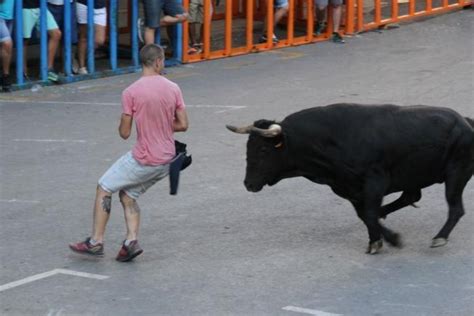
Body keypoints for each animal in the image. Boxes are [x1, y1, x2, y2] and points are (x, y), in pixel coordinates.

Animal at [227, 104, 474, 254]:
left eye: (263, 150)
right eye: (248, 147)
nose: (248, 184)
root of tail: (465, 121)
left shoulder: (374, 183)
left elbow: (369, 213)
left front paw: (386, 240)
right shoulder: (349, 189)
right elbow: (364, 215)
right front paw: (380, 239)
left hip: (456, 175)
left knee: (455, 209)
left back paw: (439, 237)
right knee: (411, 196)